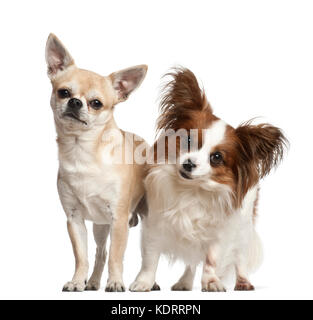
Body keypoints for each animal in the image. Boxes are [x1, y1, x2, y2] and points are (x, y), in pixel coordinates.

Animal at [45, 33, 149, 292]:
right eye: (63, 92)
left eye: (96, 103)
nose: (75, 102)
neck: (82, 151)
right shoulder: (74, 219)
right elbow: (82, 256)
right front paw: (77, 281)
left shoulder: (119, 219)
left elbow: (116, 256)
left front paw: (115, 282)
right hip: (100, 226)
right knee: (100, 253)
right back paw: (92, 282)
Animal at [130, 68, 288, 292]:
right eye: (187, 140)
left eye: (217, 157)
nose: (189, 164)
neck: (191, 190)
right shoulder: (154, 225)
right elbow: (150, 259)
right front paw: (144, 282)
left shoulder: (219, 232)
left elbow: (211, 260)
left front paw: (212, 282)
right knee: (190, 263)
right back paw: (184, 283)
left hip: (243, 226)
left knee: (240, 255)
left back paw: (243, 281)